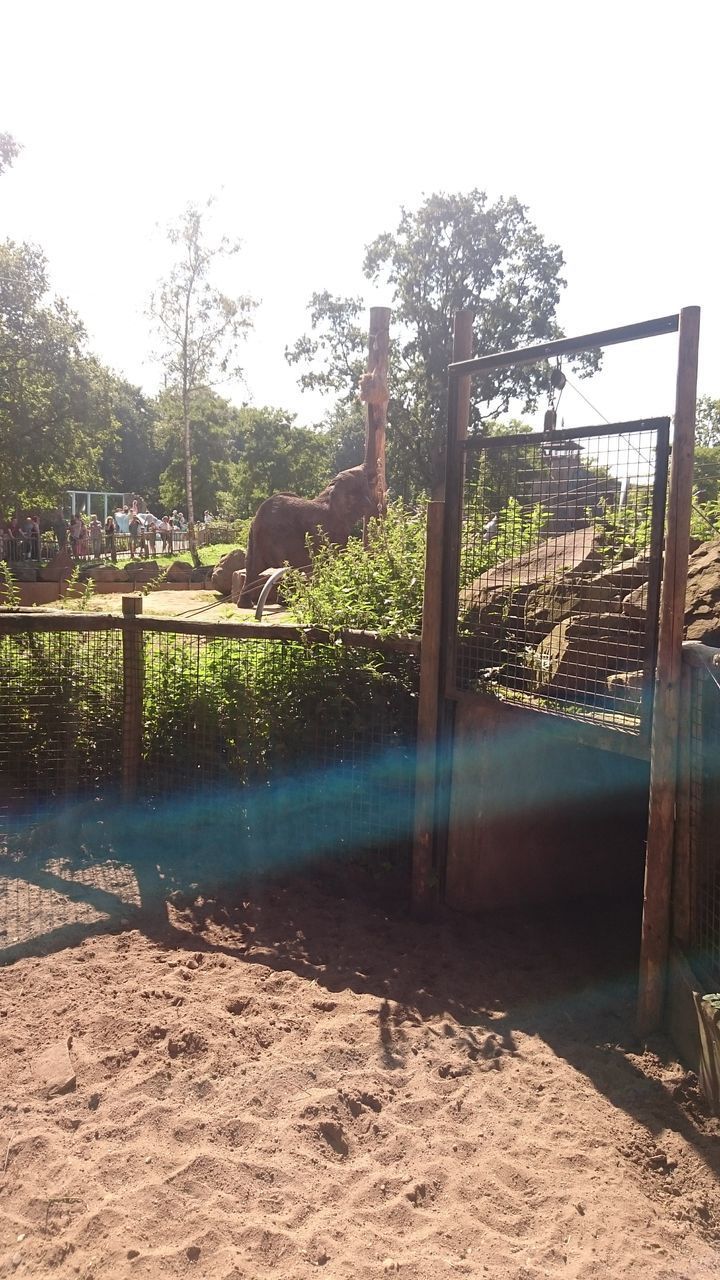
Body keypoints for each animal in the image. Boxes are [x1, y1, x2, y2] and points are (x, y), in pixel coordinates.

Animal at [239, 468, 376, 606]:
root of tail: (258, 516)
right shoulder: (335, 528)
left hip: (254, 538)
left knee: (253, 568)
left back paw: (252, 604)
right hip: (277, 536)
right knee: (284, 566)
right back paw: (286, 602)